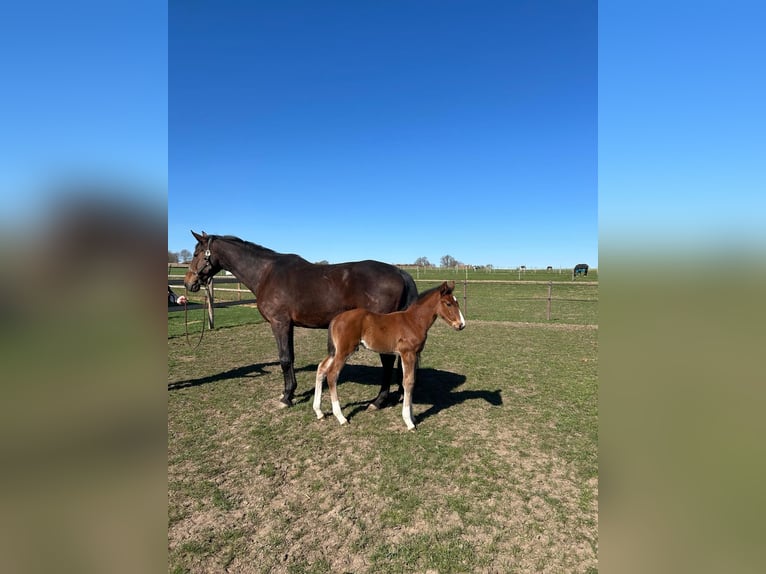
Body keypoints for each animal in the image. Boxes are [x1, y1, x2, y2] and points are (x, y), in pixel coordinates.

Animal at [183, 231, 418, 408]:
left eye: (196, 253)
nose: (188, 283)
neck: (266, 273)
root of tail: (399, 272)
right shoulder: (289, 325)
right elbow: (291, 357)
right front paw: (290, 391)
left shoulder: (279, 324)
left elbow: (285, 358)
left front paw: (287, 396)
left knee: (387, 361)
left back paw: (379, 401)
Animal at [313, 280, 466, 430]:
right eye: (448, 303)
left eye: (457, 302)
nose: (461, 325)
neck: (414, 321)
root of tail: (336, 319)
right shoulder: (407, 353)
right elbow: (408, 382)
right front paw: (409, 422)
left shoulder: (410, 355)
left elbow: (410, 381)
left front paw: (413, 417)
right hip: (344, 351)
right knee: (332, 374)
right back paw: (341, 418)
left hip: (335, 351)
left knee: (321, 368)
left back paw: (319, 412)